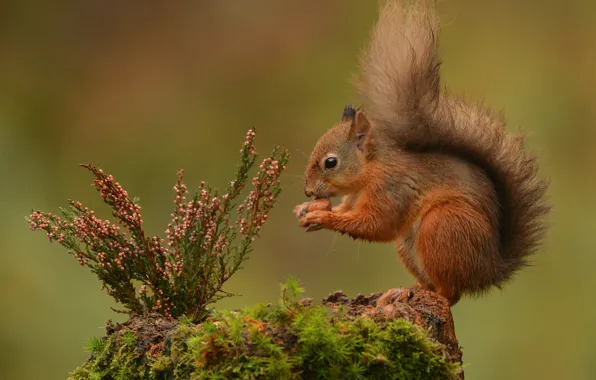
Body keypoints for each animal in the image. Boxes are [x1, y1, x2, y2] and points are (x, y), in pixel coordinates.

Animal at [294, 0, 548, 306]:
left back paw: (416, 293)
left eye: (330, 162)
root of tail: (488, 271)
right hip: (408, 246)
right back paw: (403, 291)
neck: (371, 171)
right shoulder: (355, 197)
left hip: (442, 227)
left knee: (450, 294)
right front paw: (306, 209)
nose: (308, 191)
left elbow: (377, 224)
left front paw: (323, 217)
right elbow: (348, 210)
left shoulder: (392, 190)